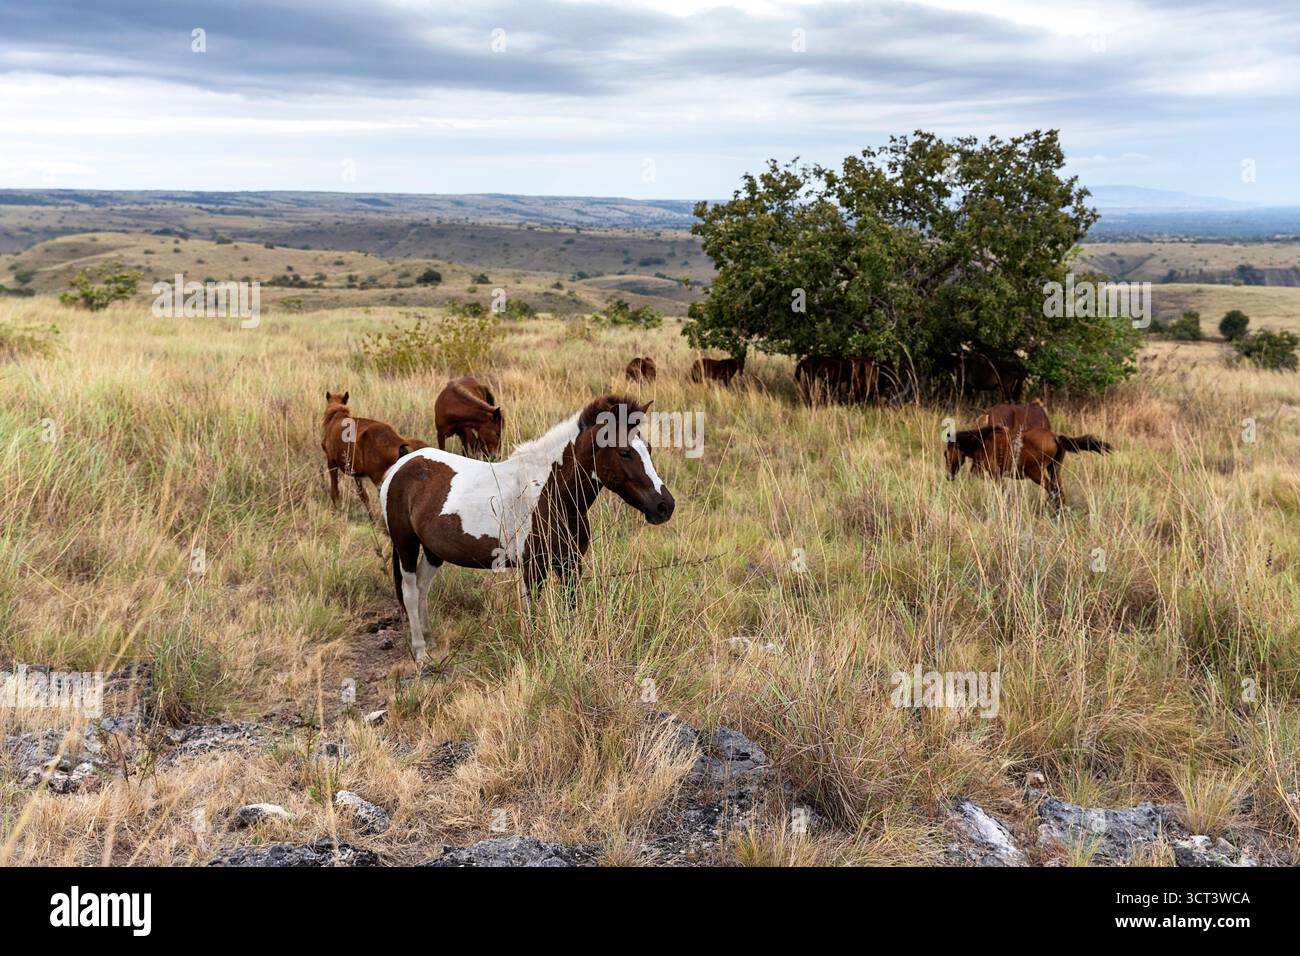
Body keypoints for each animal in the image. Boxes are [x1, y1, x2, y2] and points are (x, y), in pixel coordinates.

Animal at [380, 395, 676, 662]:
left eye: (648, 448)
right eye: (624, 452)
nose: (665, 506)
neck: (551, 493)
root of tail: (402, 464)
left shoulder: (570, 564)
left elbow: (571, 609)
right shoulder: (532, 567)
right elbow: (531, 614)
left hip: (433, 551)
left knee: (422, 587)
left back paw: (429, 640)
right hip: (406, 545)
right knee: (409, 592)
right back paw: (420, 652)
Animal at [944, 424, 1112, 512]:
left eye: (946, 453)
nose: (948, 476)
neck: (983, 441)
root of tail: (1055, 437)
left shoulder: (996, 474)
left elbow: (1002, 492)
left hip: (1036, 473)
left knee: (1052, 490)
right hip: (1054, 469)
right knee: (1059, 490)